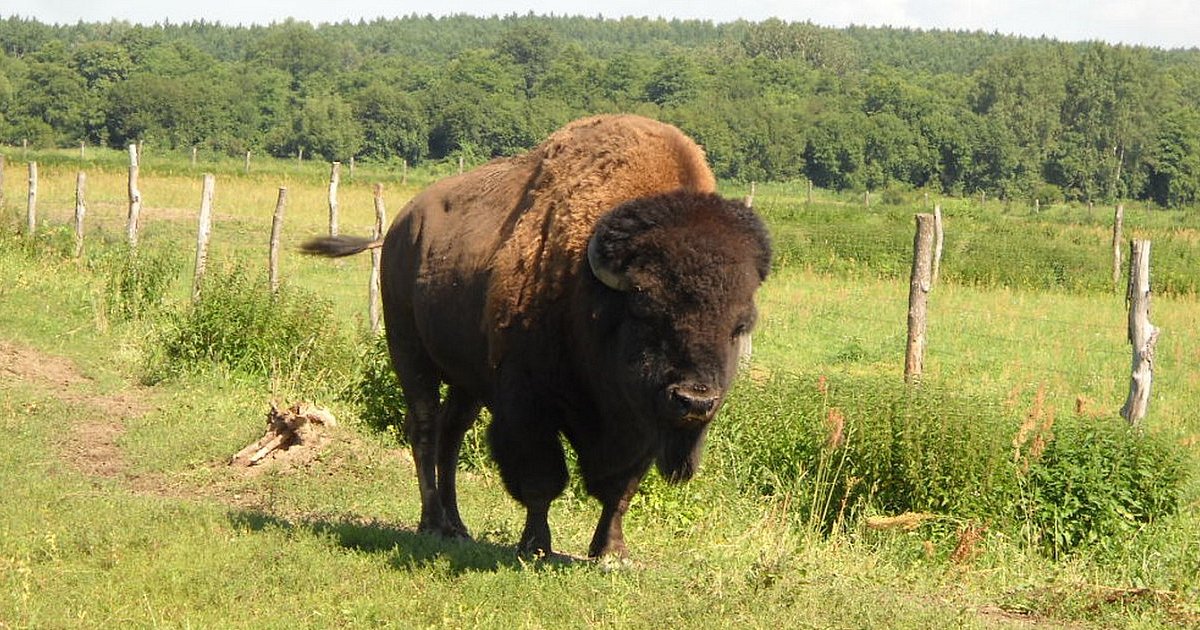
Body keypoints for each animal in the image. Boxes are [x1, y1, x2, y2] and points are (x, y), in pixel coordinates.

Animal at [304, 115, 772, 556]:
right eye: (646, 311)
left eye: (739, 326)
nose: (695, 400)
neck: (590, 291)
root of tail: (401, 226)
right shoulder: (527, 405)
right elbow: (541, 479)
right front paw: (536, 546)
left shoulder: (641, 424)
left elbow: (620, 489)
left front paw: (611, 551)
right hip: (409, 353)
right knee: (425, 430)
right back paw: (433, 523)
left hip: (468, 382)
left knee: (451, 436)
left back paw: (458, 527)